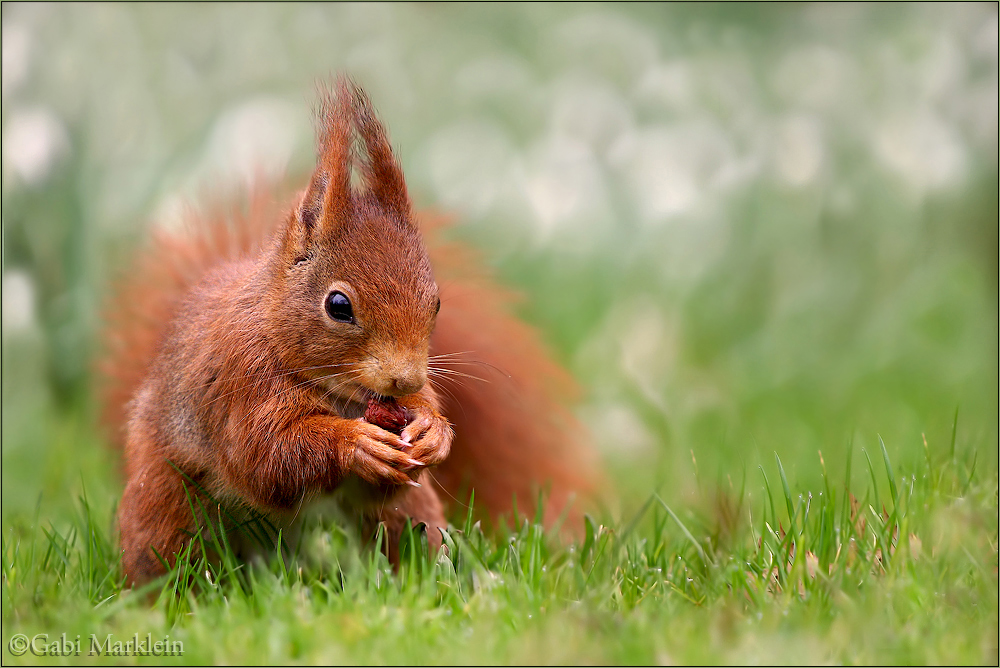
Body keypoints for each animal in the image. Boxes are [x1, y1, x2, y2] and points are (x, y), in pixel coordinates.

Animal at [99, 75, 600, 580]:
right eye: (338, 305)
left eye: (437, 303)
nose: (406, 380)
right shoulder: (241, 380)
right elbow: (264, 454)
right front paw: (355, 444)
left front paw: (434, 433)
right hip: (168, 504)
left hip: (407, 512)